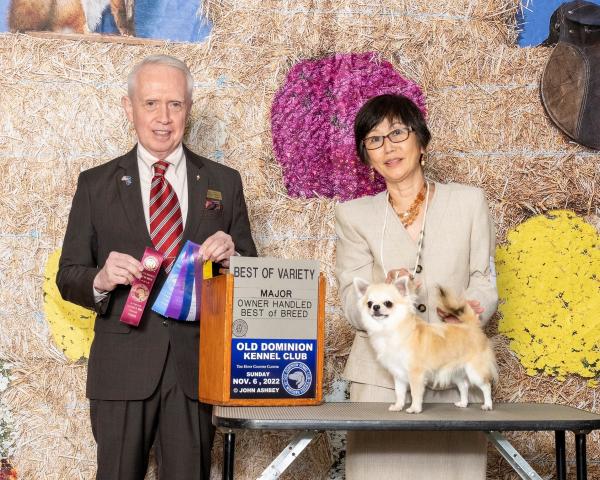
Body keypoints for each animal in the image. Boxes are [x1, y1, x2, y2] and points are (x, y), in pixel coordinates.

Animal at [354, 276, 497, 413]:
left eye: (388, 303)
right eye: (369, 303)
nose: (375, 307)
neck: (388, 328)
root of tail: (471, 326)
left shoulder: (416, 374)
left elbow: (415, 393)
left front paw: (414, 408)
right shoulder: (399, 375)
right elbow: (399, 393)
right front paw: (398, 406)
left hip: (475, 371)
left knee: (486, 386)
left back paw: (488, 405)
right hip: (456, 372)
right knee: (464, 386)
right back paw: (463, 403)